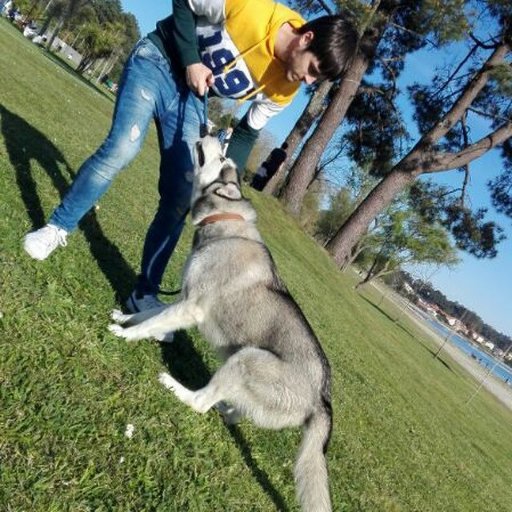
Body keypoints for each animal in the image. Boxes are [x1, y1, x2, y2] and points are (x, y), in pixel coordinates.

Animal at [109, 136, 332, 512]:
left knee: (200, 402)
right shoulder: (183, 298)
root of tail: (322, 400)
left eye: (224, 158)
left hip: (248, 358)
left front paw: (125, 335)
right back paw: (227, 408)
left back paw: (176, 387)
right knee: (230, 407)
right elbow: (150, 315)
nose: (217, 134)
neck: (224, 223)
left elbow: (149, 324)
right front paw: (126, 318)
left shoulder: (191, 307)